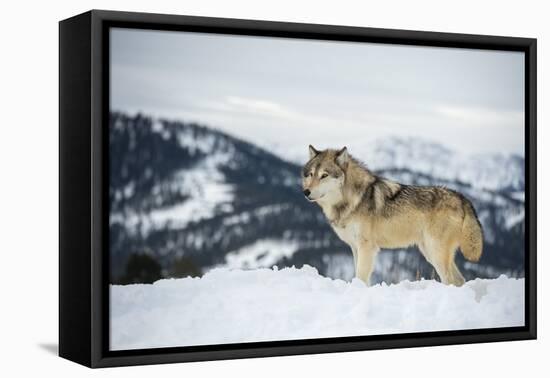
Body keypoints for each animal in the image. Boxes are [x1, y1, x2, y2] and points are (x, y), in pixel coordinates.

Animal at [304, 145, 486, 286]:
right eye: (311, 174)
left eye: (324, 175)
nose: (306, 192)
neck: (353, 198)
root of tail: (461, 197)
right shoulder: (355, 247)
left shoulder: (367, 247)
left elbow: (361, 277)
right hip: (429, 252)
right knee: (459, 280)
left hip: (436, 252)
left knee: (450, 280)